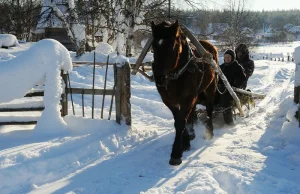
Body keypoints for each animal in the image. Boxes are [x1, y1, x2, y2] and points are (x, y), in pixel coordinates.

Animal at [152, 20, 218, 165]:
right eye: (153, 47)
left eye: (172, 46)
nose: (159, 79)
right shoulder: (169, 100)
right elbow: (179, 120)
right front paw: (185, 142)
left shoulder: (187, 97)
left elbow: (181, 122)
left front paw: (176, 153)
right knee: (192, 111)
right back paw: (192, 133)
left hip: (210, 88)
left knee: (209, 108)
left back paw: (210, 131)